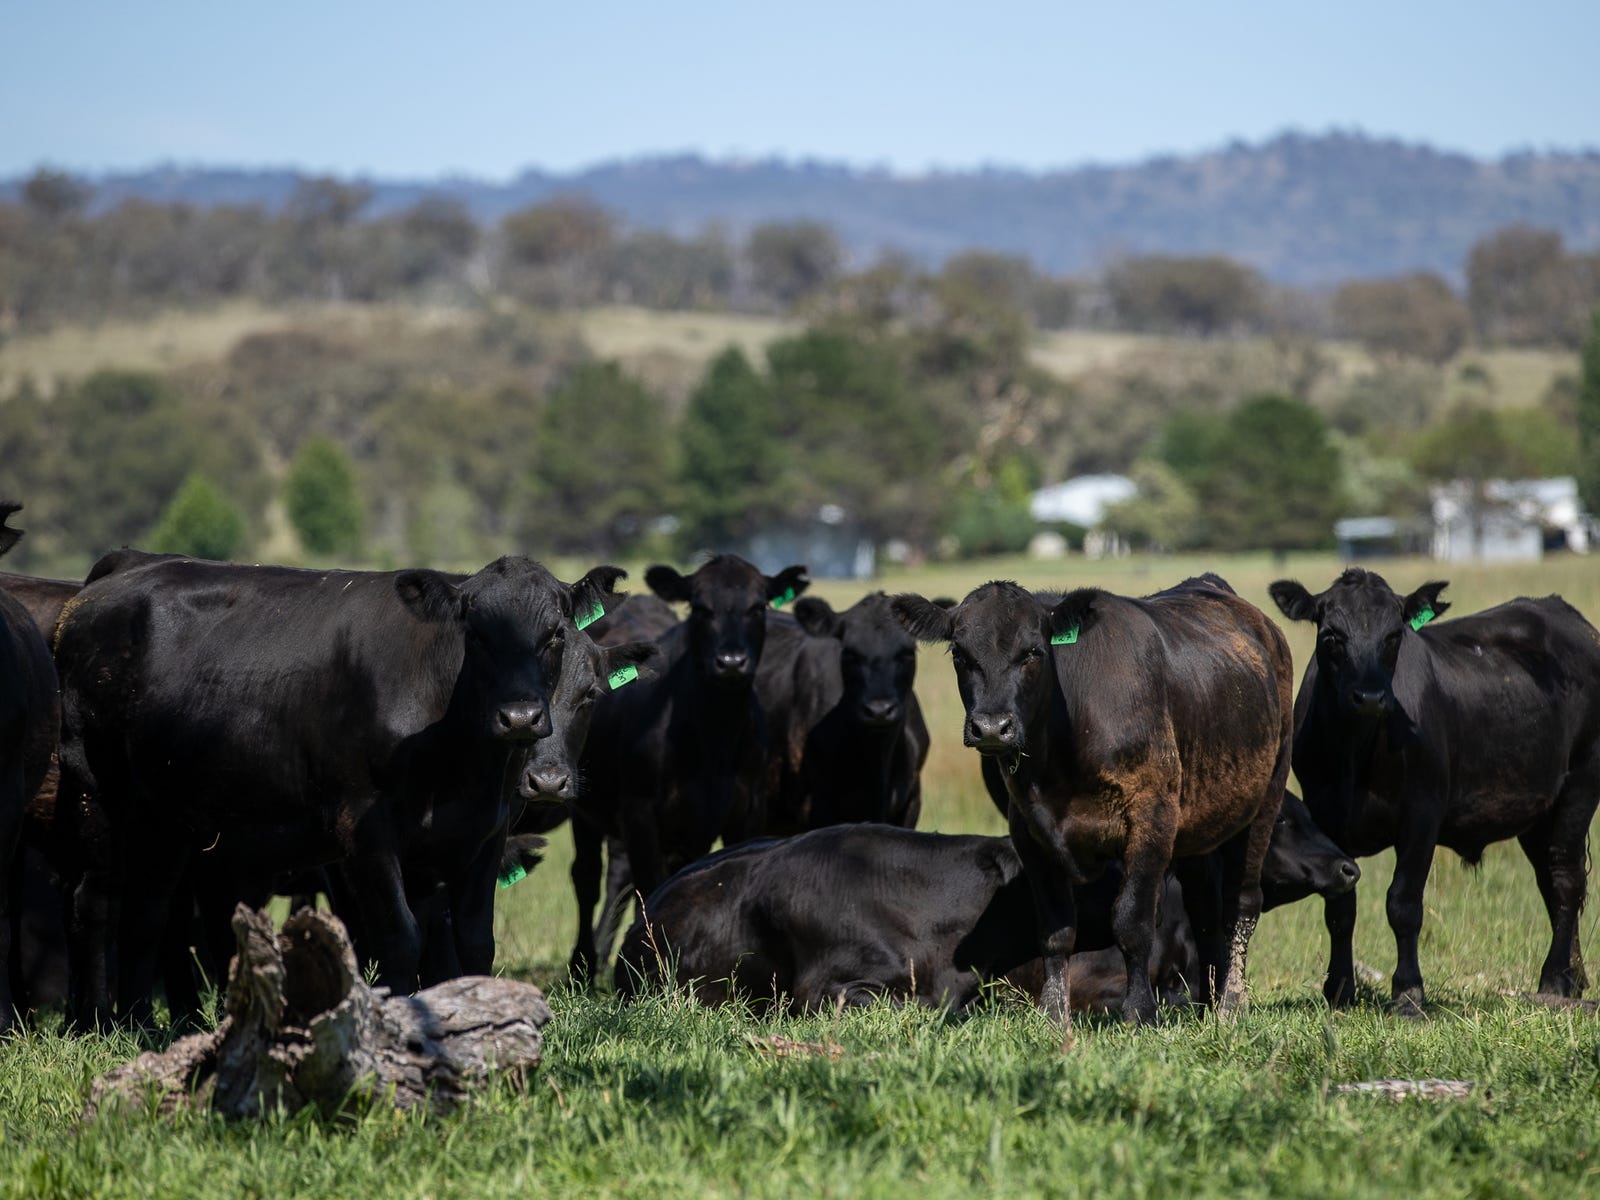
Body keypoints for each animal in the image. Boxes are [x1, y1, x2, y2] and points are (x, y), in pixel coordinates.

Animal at [53, 551, 625, 1026]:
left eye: (555, 634)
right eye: (477, 635)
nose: (520, 717)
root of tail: (116, 575)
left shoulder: (483, 834)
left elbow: (473, 942)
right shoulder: (364, 832)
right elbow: (400, 938)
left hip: (166, 816)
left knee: (149, 910)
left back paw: (143, 1025)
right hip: (95, 790)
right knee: (97, 902)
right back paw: (97, 1024)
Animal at [567, 555, 808, 978]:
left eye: (758, 607)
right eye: (699, 607)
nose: (731, 662)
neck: (714, 737)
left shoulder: (747, 810)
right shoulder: (640, 811)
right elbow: (649, 885)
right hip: (586, 808)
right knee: (587, 879)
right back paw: (582, 965)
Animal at [890, 575, 1293, 1024]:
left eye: (1034, 652)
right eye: (960, 654)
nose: (992, 727)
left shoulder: (1151, 818)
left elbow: (1133, 922)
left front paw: (1139, 1013)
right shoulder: (1029, 832)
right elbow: (1056, 930)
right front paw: (1053, 1014)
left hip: (1267, 794)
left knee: (1242, 904)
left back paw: (1231, 1004)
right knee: (1204, 909)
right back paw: (1207, 1004)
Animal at [1269, 569, 1600, 1011]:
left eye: (1394, 636)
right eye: (1331, 636)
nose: (1370, 697)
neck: (1357, 753)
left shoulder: (1422, 814)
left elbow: (1403, 903)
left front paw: (1408, 992)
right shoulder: (1325, 817)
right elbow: (1340, 907)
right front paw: (1339, 989)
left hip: (1581, 783)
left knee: (1566, 879)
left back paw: (1556, 979)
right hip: (1537, 811)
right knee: (1551, 882)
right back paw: (1573, 975)